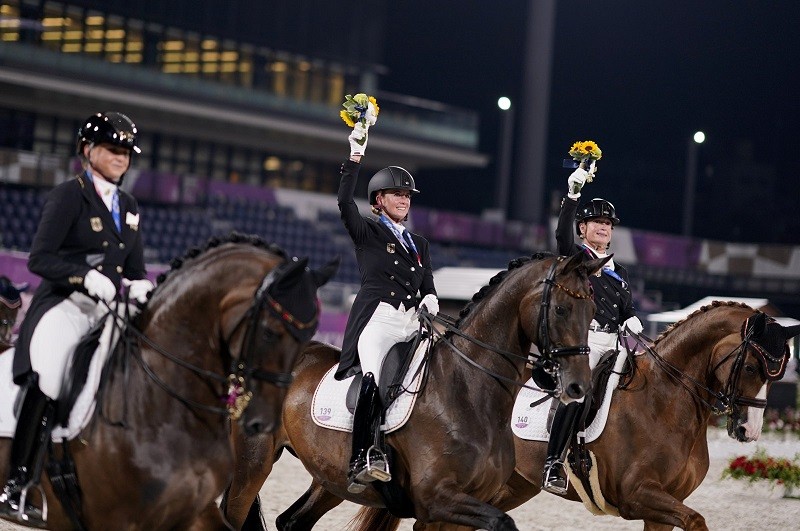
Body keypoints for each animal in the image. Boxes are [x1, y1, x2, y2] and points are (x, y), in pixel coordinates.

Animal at [221, 251, 610, 531]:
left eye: (594, 310)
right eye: (561, 309)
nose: (578, 385)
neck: (468, 391)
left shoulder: (458, 507)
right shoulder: (436, 499)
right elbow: (503, 523)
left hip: (328, 477)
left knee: (291, 521)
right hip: (253, 463)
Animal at [486, 301, 800, 531]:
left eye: (779, 374)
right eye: (750, 368)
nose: (750, 430)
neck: (664, 401)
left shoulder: (664, 506)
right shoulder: (636, 495)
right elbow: (696, 520)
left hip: (516, 484)